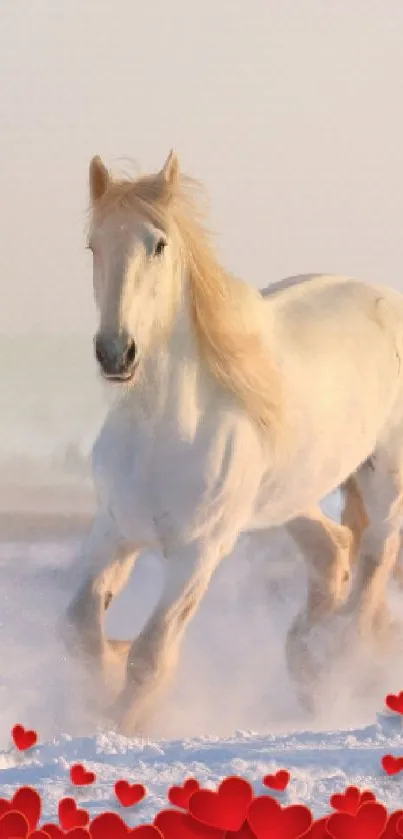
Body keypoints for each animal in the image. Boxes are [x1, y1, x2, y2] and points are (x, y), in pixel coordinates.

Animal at [64, 151, 403, 736]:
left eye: (159, 244)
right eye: (93, 245)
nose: (116, 353)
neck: (162, 431)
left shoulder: (199, 551)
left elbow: (151, 655)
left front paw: (122, 723)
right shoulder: (113, 530)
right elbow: (81, 629)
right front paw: (104, 681)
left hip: (385, 479)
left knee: (373, 563)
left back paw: (334, 666)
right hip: (290, 495)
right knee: (333, 549)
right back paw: (306, 661)